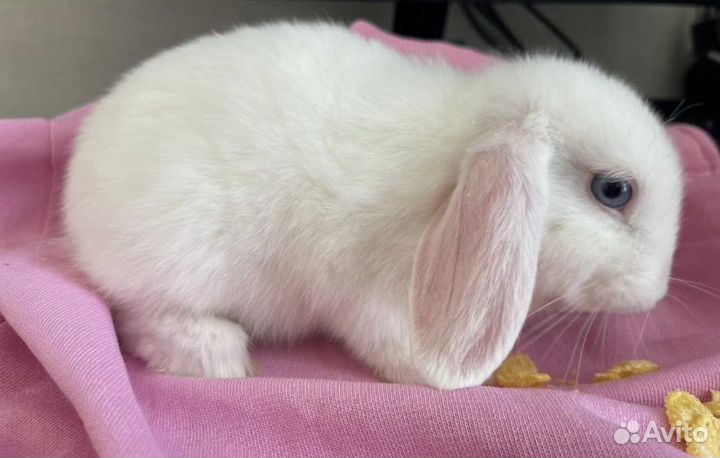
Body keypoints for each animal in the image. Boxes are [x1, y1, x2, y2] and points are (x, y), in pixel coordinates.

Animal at [62, 21, 683, 390]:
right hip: (182, 259)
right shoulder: (377, 297)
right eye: (613, 191)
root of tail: (76, 195)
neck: (453, 173)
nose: (655, 294)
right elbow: (412, 363)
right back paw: (219, 356)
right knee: (135, 316)